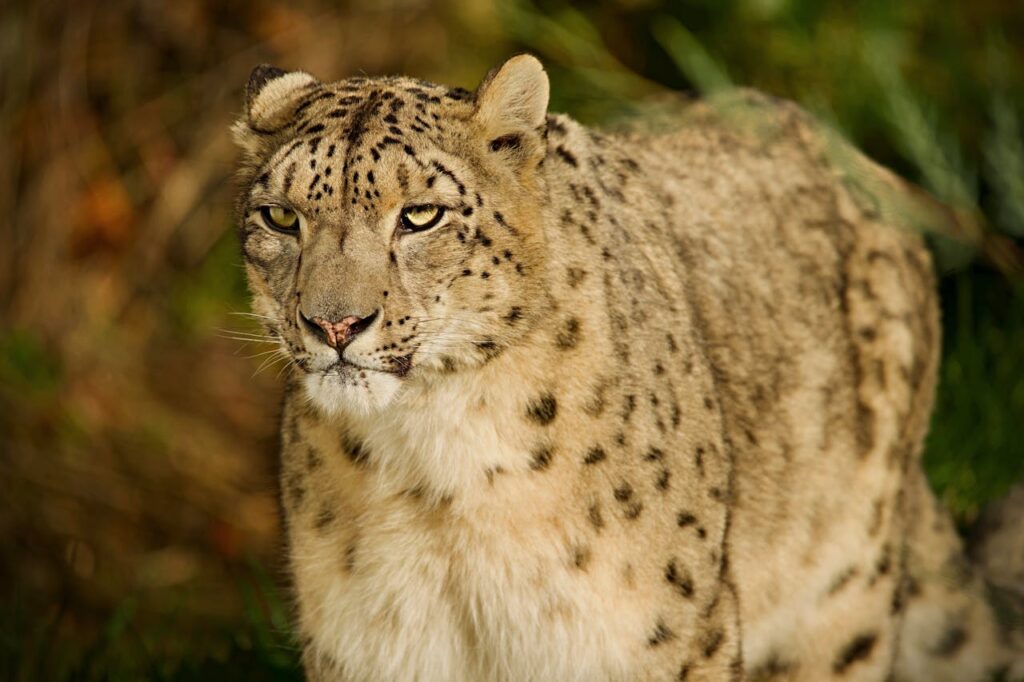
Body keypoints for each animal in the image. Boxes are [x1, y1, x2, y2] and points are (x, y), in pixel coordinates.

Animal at [231, 55, 1024, 681]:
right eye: (280, 217)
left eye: (421, 215)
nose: (334, 323)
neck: (433, 478)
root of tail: (857, 166)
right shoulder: (372, 646)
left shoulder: (657, 638)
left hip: (841, 603)